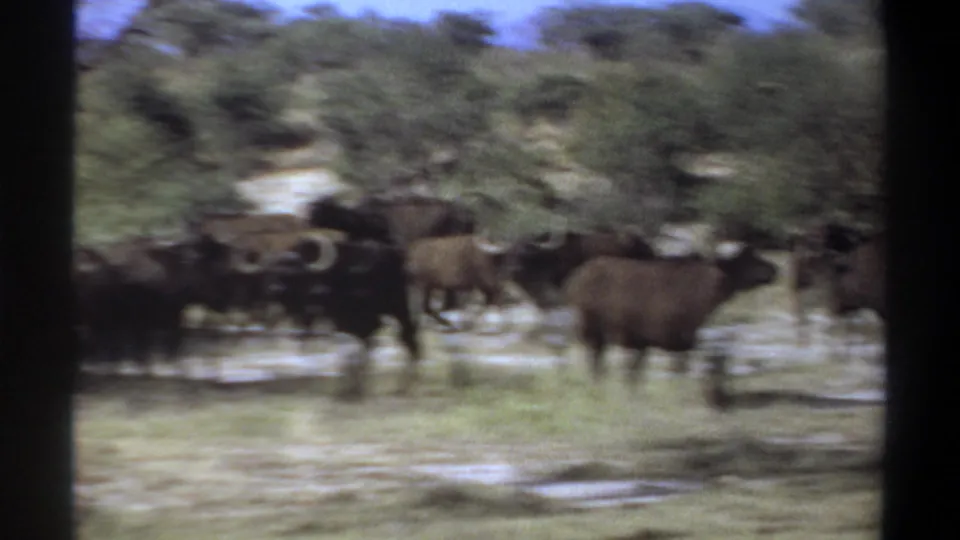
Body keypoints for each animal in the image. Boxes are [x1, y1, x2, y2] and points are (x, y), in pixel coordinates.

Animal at [562, 243, 778, 393]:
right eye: (748, 260)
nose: (775, 270)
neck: (706, 298)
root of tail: (574, 282)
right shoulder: (674, 339)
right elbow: (674, 371)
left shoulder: (651, 341)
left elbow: (638, 373)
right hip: (590, 327)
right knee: (593, 361)